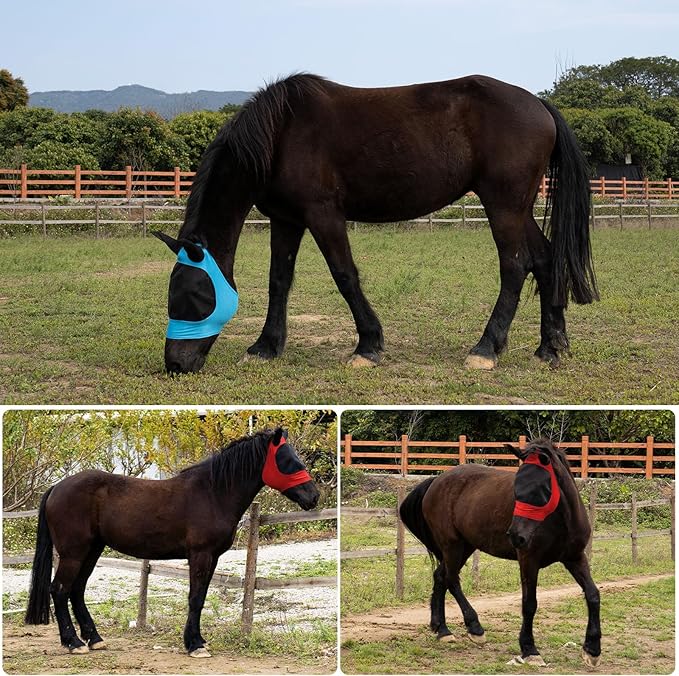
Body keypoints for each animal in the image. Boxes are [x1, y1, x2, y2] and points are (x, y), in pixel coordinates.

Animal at [24, 428, 320, 658]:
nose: (314, 496)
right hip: (73, 553)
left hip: (92, 550)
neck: (213, 492)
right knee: (59, 590)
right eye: (287, 461)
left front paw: (197, 640)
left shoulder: (212, 557)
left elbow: (200, 597)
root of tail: (56, 488)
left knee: (76, 591)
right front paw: (195, 645)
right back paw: (73, 643)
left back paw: (94, 639)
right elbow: (195, 598)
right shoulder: (200, 555)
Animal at [153, 73, 598, 374]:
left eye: (194, 295)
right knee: (544, 260)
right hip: (517, 208)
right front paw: (265, 346)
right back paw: (551, 346)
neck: (281, 133)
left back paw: (486, 348)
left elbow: (344, 275)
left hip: (503, 205)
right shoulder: (286, 219)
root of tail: (540, 105)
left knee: (515, 266)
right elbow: (278, 280)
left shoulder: (323, 215)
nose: (175, 363)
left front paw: (368, 345)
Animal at [398, 437, 601, 667]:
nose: (515, 536)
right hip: (452, 545)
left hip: (465, 546)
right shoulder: (528, 560)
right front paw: (529, 649)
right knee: (451, 579)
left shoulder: (575, 557)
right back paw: (474, 628)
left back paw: (442, 630)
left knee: (441, 577)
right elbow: (529, 604)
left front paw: (592, 649)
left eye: (541, 487)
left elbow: (593, 595)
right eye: (516, 487)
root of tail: (436, 481)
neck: (561, 521)